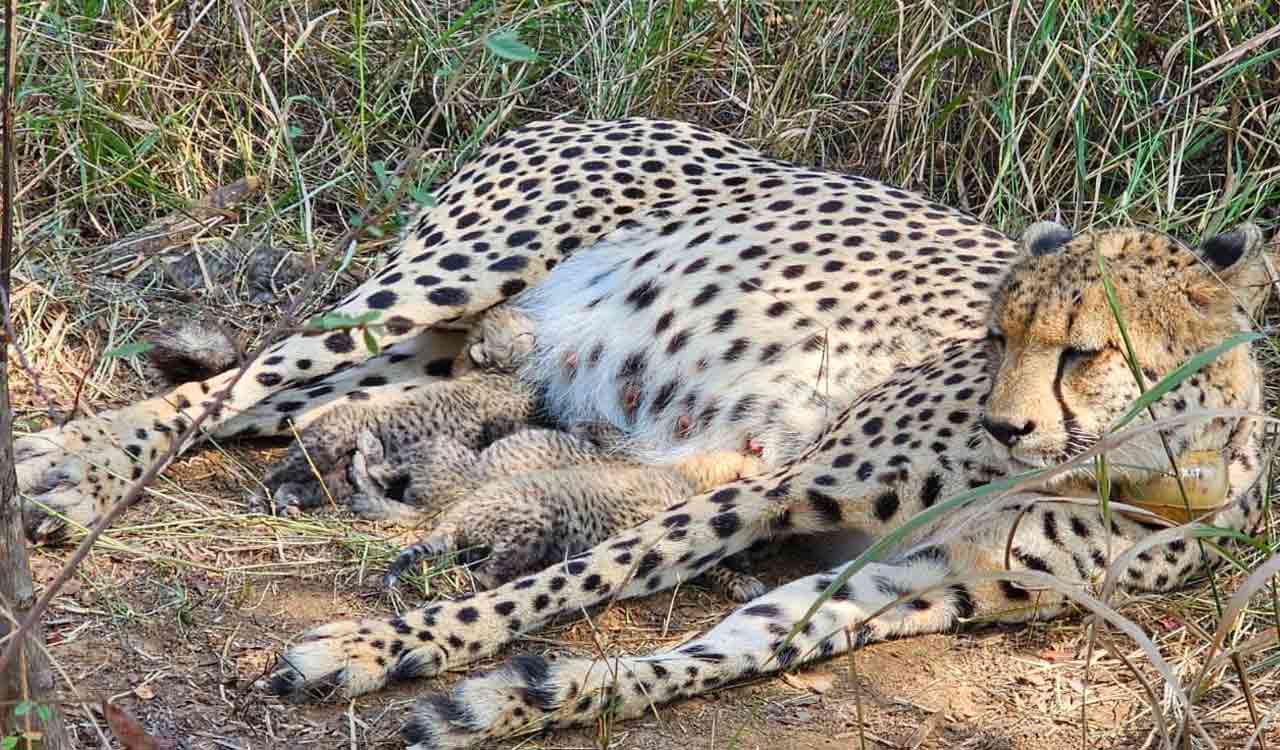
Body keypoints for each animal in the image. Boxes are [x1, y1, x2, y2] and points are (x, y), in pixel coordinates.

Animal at [13, 118, 1272, 750]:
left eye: (1084, 351)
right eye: (995, 333)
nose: (1005, 422)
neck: (1139, 471)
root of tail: (573, 110)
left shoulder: (908, 586)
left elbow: (706, 654)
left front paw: (510, 701)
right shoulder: (779, 485)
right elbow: (583, 576)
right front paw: (381, 647)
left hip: (442, 352)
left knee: (290, 406)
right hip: (445, 279)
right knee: (234, 383)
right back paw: (67, 468)